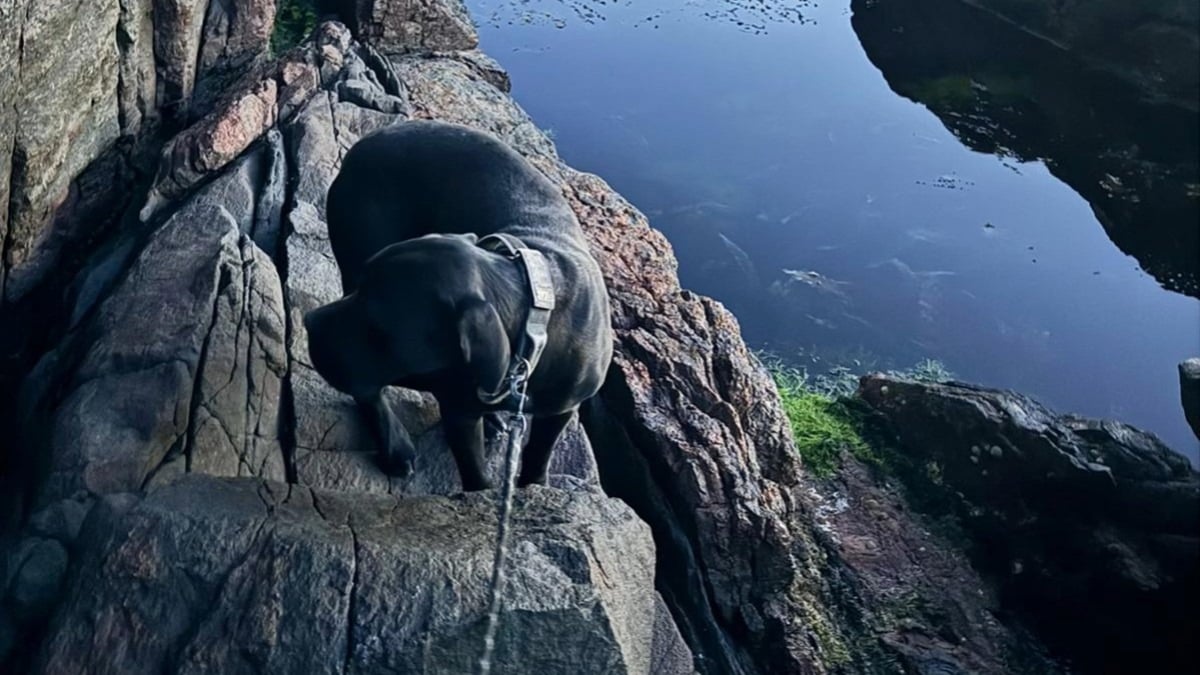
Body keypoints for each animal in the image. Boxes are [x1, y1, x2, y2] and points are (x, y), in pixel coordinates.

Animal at [304, 120, 614, 487]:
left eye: (380, 329)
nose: (308, 322)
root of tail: (368, 141)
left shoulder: (560, 410)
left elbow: (540, 454)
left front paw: (535, 486)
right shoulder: (459, 414)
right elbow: (475, 474)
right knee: (368, 390)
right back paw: (395, 446)